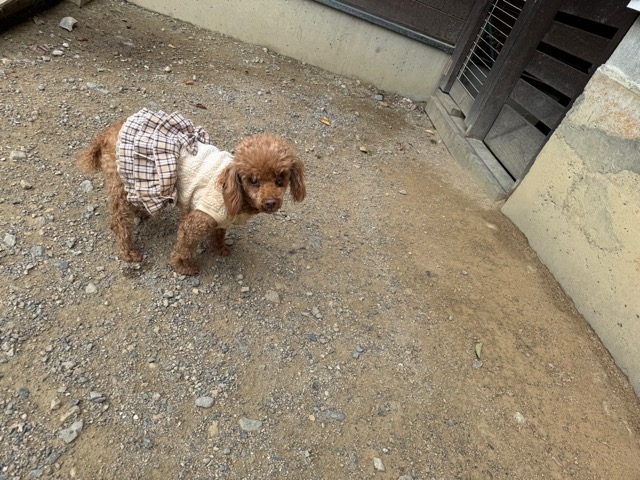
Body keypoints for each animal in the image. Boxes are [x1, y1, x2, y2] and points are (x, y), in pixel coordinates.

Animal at [78, 109, 305, 276]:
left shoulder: (222, 217)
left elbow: (219, 233)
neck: (236, 193)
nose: (270, 202)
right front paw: (183, 267)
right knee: (119, 222)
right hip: (122, 181)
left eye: (280, 179)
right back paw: (128, 252)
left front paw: (219, 248)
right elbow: (184, 246)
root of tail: (108, 132)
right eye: (253, 180)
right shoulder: (200, 219)